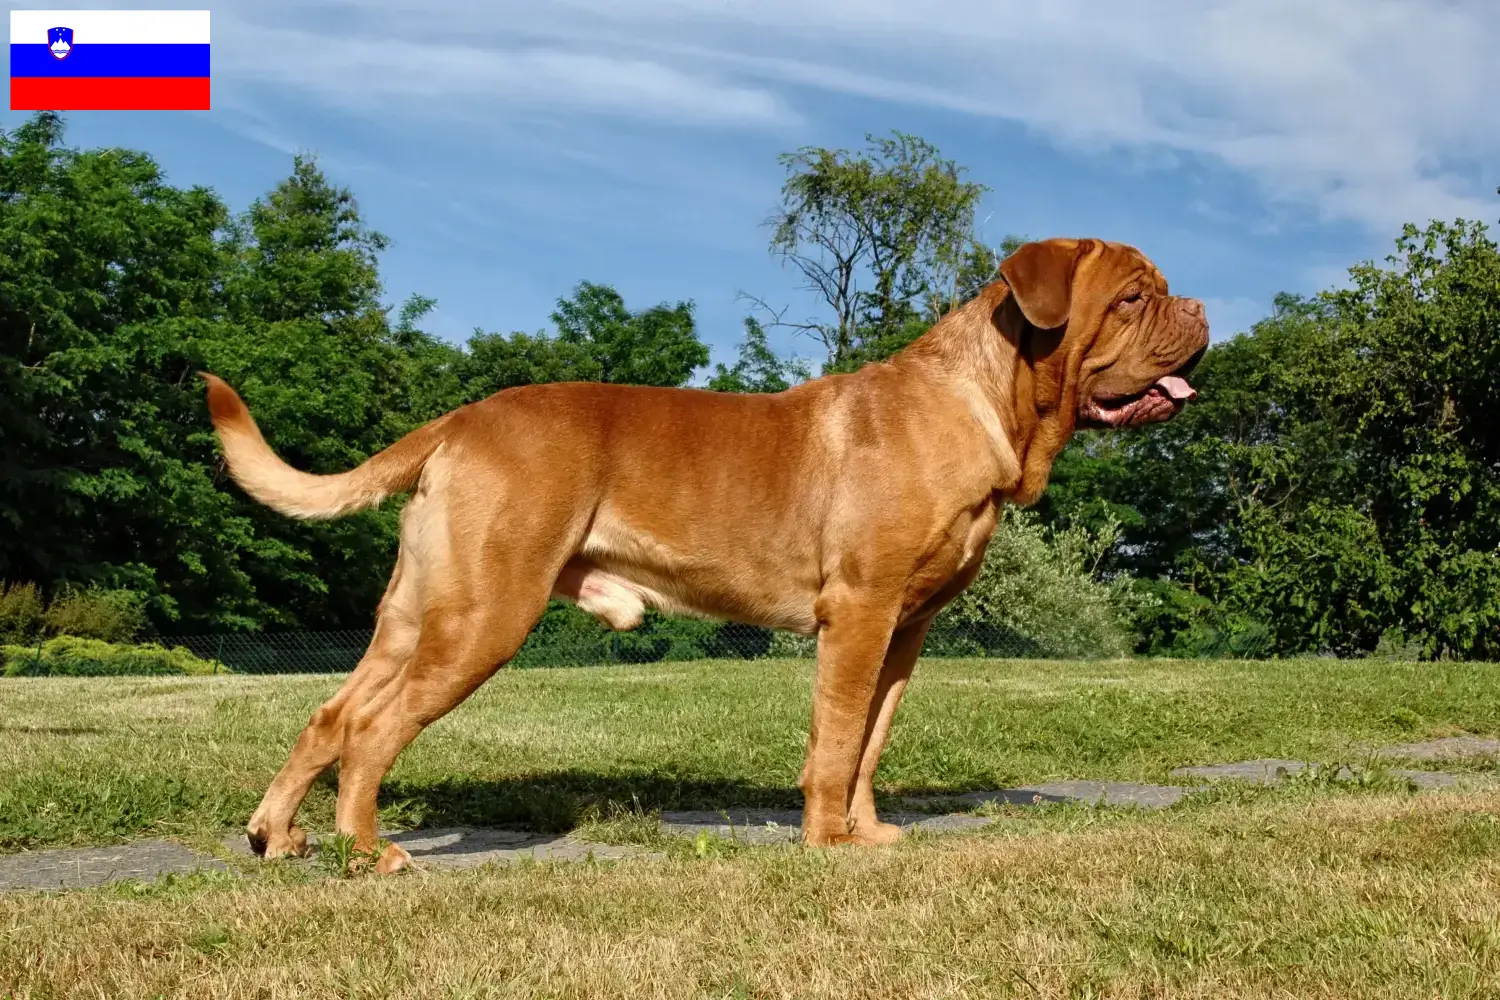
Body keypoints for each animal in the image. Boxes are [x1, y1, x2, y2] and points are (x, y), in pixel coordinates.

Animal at [202, 238, 1206, 869]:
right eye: (1131, 297)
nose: (1199, 304)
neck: (986, 400)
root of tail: (460, 419)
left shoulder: (907, 629)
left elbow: (872, 739)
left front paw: (868, 834)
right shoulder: (860, 613)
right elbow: (837, 738)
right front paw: (827, 843)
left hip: (418, 614)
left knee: (331, 716)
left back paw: (277, 837)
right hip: (487, 615)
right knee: (372, 732)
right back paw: (368, 852)